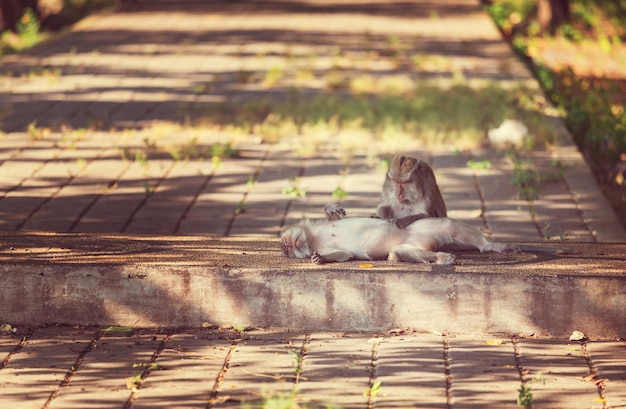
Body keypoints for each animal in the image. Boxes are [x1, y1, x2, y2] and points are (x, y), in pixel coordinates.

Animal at [280, 203, 520, 264]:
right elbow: (344, 254)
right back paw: (440, 257)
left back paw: (492, 246)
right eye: (288, 250)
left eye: (286, 243)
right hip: (418, 242)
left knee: (449, 225)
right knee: (397, 251)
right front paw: (320, 258)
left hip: (423, 228)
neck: (314, 237)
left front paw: (332, 209)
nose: (287, 246)